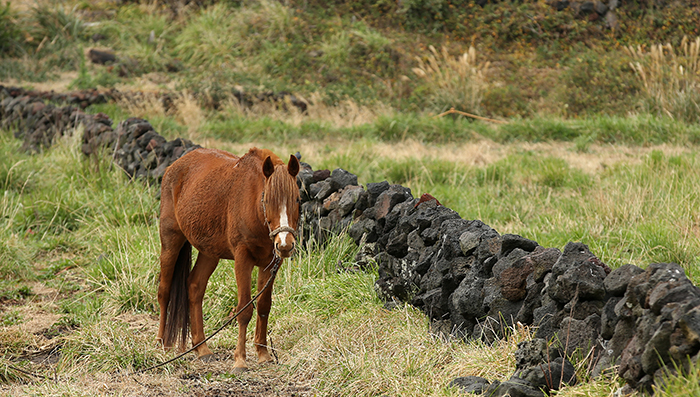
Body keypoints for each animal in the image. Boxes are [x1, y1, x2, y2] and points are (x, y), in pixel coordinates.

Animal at [156, 146, 300, 372]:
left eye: (297, 199)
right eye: (267, 200)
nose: (285, 244)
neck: (254, 206)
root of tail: (174, 166)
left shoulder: (269, 263)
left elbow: (264, 307)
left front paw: (263, 354)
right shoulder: (243, 260)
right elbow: (244, 310)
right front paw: (240, 360)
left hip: (209, 252)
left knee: (195, 287)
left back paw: (202, 349)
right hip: (171, 241)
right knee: (164, 291)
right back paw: (162, 343)